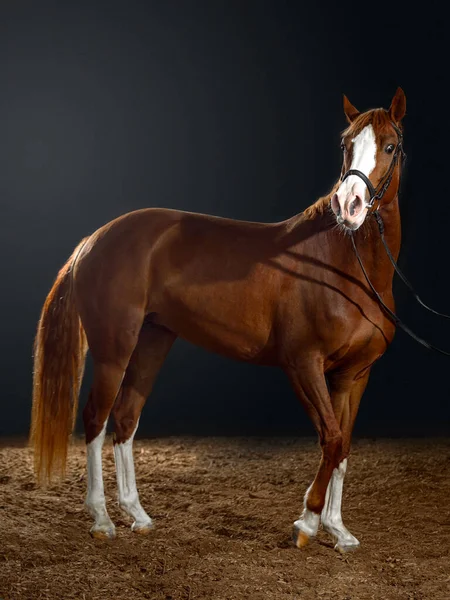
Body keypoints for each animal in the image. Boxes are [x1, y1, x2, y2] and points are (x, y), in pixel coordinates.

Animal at [29, 86, 406, 552]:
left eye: (390, 146)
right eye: (345, 144)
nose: (348, 205)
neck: (341, 264)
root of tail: (93, 238)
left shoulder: (354, 374)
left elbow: (343, 446)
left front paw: (337, 529)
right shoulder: (303, 364)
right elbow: (331, 439)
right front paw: (307, 523)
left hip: (153, 340)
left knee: (125, 418)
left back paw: (138, 515)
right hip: (114, 348)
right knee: (96, 419)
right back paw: (101, 519)